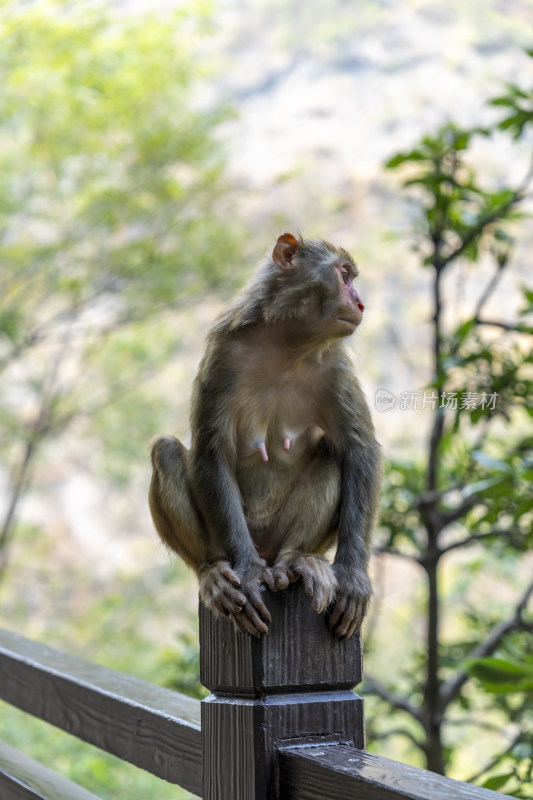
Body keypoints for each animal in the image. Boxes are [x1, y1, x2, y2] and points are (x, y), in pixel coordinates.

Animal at [150, 231, 380, 636]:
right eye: (344, 275)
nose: (360, 303)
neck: (287, 345)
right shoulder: (223, 350)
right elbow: (211, 453)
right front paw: (247, 572)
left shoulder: (336, 364)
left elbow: (359, 451)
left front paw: (353, 578)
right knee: (165, 451)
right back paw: (214, 572)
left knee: (331, 457)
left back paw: (297, 561)